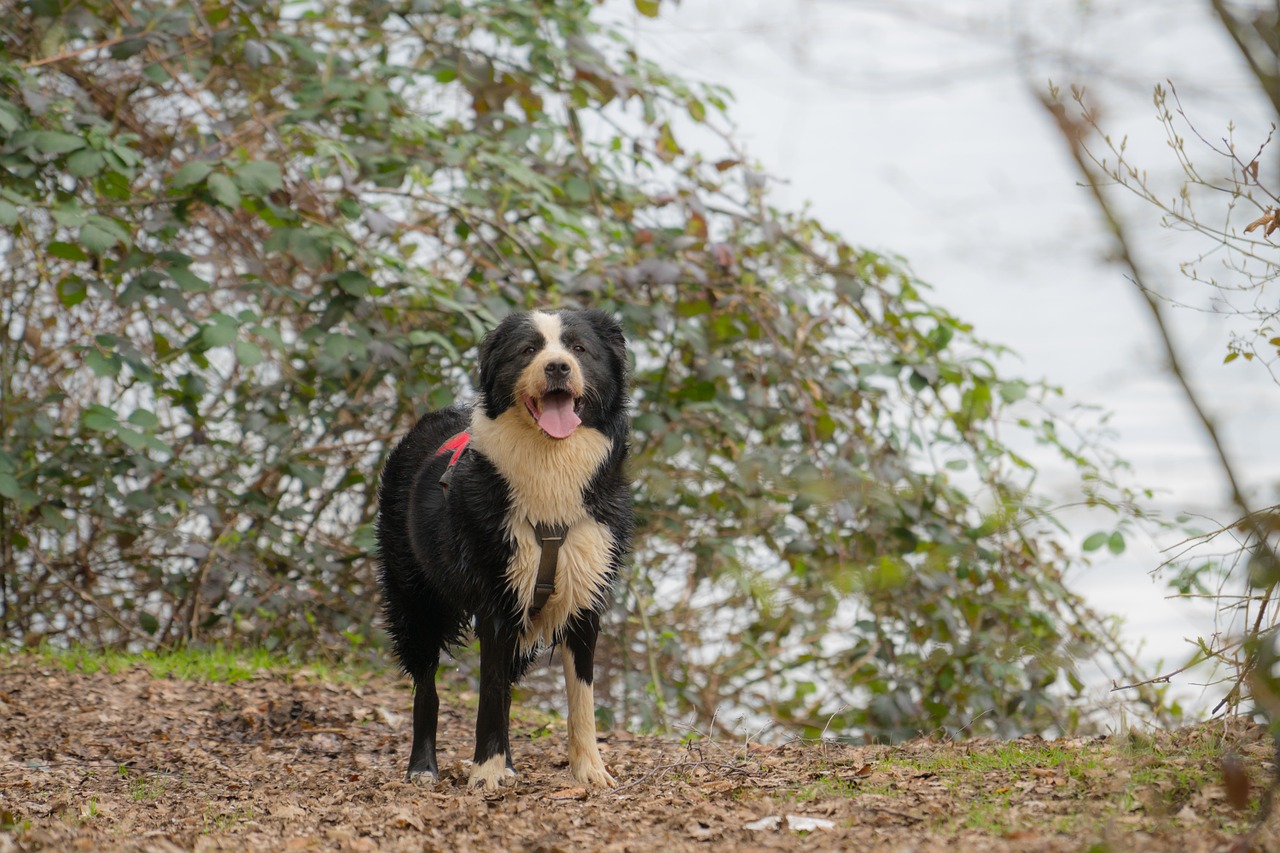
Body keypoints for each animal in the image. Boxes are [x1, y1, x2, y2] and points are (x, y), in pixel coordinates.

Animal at [373, 307, 634, 788]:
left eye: (579, 348)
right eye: (528, 350)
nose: (558, 367)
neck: (550, 463)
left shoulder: (585, 597)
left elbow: (581, 697)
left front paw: (590, 770)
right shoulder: (497, 597)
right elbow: (491, 691)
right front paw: (487, 772)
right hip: (414, 600)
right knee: (427, 686)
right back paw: (423, 767)